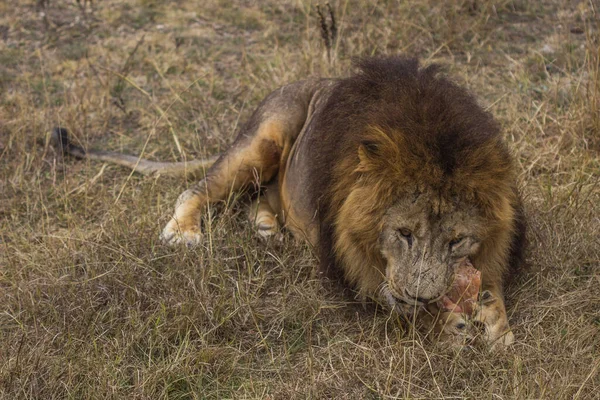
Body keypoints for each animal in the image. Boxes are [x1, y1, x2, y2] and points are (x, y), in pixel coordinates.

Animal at [51, 57, 524, 346]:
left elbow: (491, 288)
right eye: (404, 233)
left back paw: (269, 227)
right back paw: (185, 231)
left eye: (457, 241)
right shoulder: (353, 262)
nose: (423, 297)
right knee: (196, 189)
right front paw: (448, 323)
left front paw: (495, 325)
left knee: (259, 199)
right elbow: (395, 297)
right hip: (266, 135)